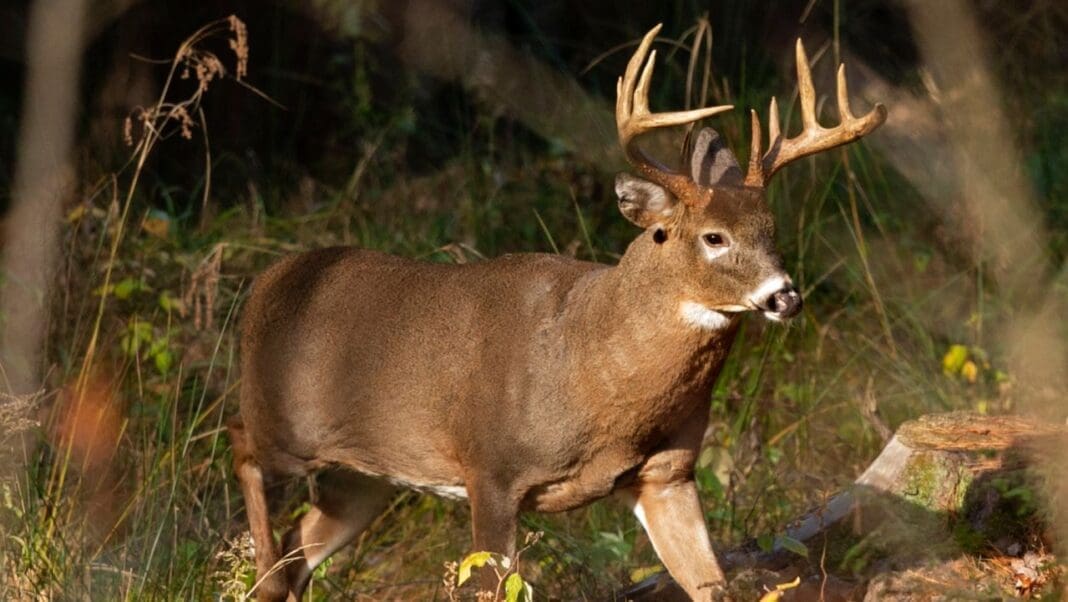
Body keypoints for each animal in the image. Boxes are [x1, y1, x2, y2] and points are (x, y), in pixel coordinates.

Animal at [227, 24, 886, 601]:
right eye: (714, 237)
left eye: (772, 229)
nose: (785, 295)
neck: (591, 370)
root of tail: (265, 283)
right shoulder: (490, 468)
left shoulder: (668, 474)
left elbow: (710, 583)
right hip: (284, 420)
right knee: (242, 450)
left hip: (364, 475)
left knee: (301, 545)